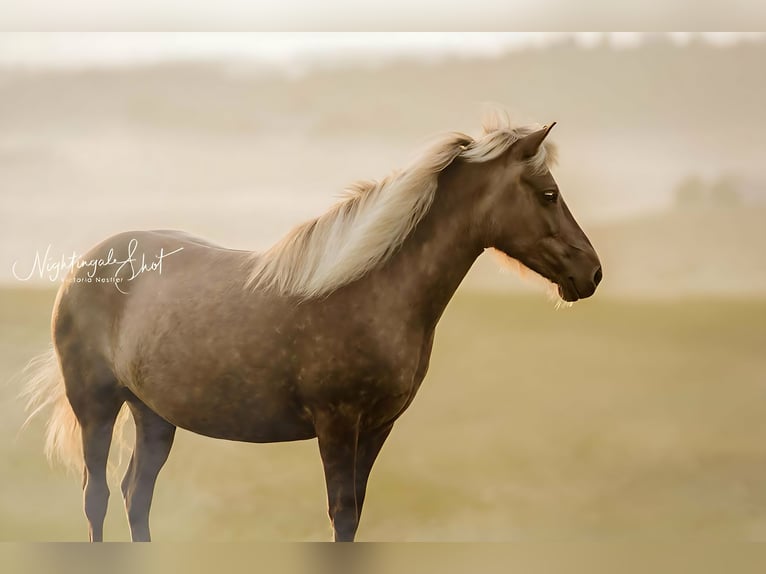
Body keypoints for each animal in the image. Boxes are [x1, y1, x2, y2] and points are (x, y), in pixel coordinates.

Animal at [22, 111, 602, 542]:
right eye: (548, 193)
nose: (591, 273)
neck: (372, 289)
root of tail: (85, 265)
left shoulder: (378, 427)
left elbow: (356, 515)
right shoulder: (337, 423)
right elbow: (340, 514)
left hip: (154, 415)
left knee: (135, 495)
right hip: (96, 406)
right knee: (97, 497)